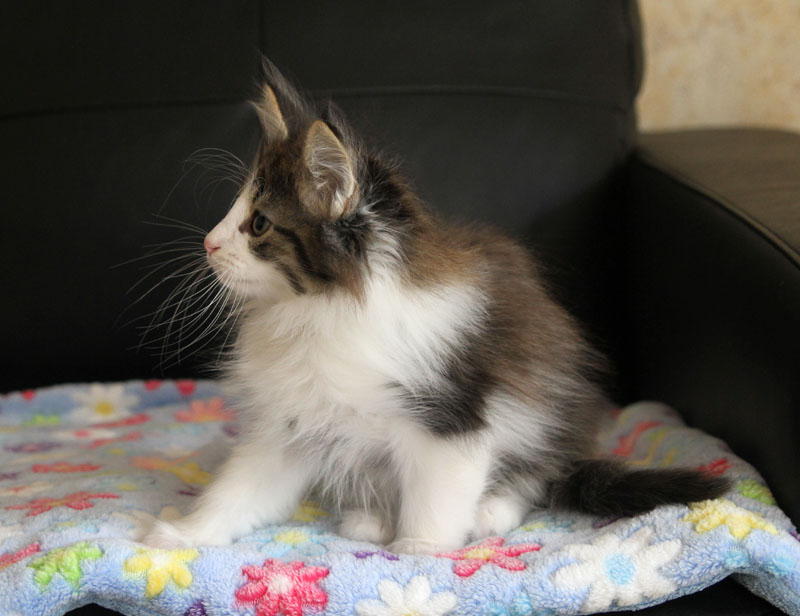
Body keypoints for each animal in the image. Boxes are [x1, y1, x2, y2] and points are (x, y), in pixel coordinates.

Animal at [142, 61, 728, 554]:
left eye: (258, 223)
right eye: (235, 210)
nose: (209, 244)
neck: (321, 313)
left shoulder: (453, 418)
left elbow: (438, 496)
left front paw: (418, 551)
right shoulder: (290, 423)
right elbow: (239, 489)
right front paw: (183, 533)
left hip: (547, 407)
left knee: (538, 471)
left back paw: (491, 510)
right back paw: (369, 517)